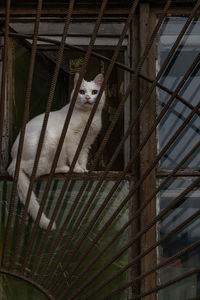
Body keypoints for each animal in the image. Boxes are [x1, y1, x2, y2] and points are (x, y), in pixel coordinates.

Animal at [7, 72, 105, 230]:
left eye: (95, 92)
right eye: (81, 91)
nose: (87, 97)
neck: (88, 118)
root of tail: (14, 158)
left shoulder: (86, 144)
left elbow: (82, 158)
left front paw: (84, 169)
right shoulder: (71, 137)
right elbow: (74, 156)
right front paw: (77, 169)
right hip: (51, 138)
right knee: (35, 170)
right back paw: (65, 168)